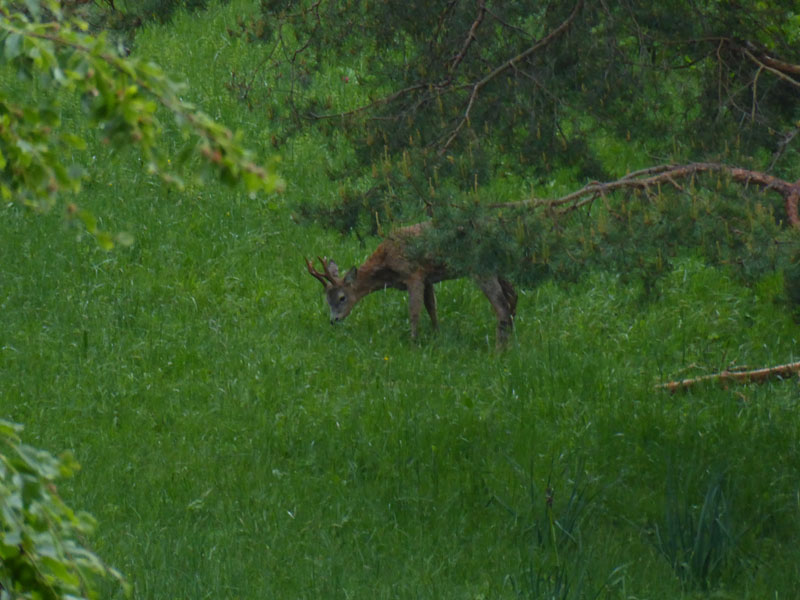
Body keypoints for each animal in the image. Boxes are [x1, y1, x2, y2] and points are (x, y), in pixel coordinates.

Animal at [304, 223, 516, 350]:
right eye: (327, 299)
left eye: (342, 298)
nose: (334, 320)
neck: (387, 264)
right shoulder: (427, 278)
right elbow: (431, 307)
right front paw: (437, 335)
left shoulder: (414, 274)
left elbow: (414, 312)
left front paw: (413, 343)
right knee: (513, 298)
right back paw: (511, 342)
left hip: (481, 268)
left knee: (501, 306)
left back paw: (499, 350)